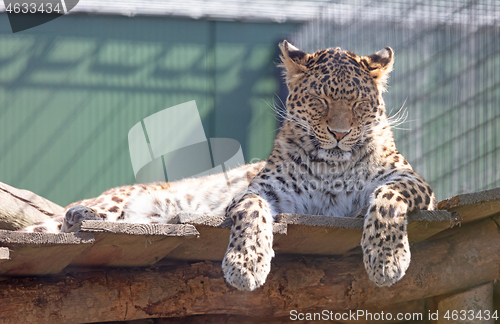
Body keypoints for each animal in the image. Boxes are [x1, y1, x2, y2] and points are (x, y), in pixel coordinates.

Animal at [17, 40, 436, 292]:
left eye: (358, 104)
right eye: (320, 99)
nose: (338, 133)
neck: (331, 168)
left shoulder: (414, 183)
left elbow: (386, 198)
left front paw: (385, 260)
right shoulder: (261, 191)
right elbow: (251, 211)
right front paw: (245, 264)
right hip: (124, 199)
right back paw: (80, 215)